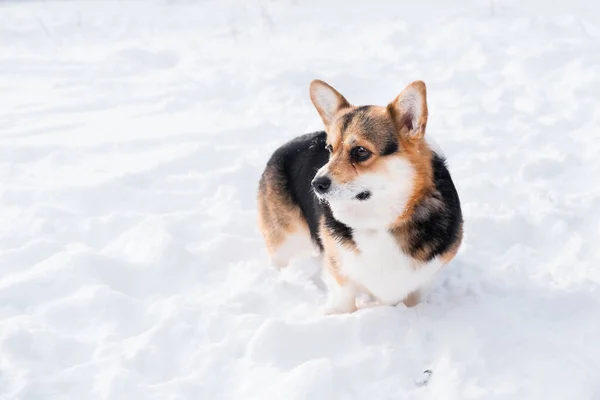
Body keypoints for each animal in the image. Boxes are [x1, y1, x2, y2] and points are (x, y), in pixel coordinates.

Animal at [255, 79, 462, 314]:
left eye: (361, 151)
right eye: (330, 148)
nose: (316, 184)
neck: (380, 221)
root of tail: (284, 146)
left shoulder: (424, 279)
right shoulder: (341, 274)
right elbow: (343, 302)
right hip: (285, 242)